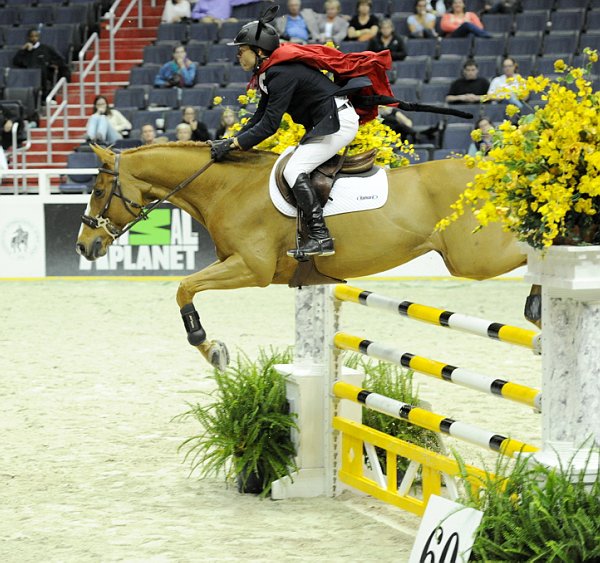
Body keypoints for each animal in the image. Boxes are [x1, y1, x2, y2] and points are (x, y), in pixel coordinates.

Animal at [75, 142, 524, 370]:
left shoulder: (250, 269)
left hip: (474, 257)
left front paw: (207, 344)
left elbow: (184, 287)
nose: (83, 245)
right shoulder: (236, 263)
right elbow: (185, 288)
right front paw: (213, 350)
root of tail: (488, 169)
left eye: (97, 190)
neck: (227, 187)